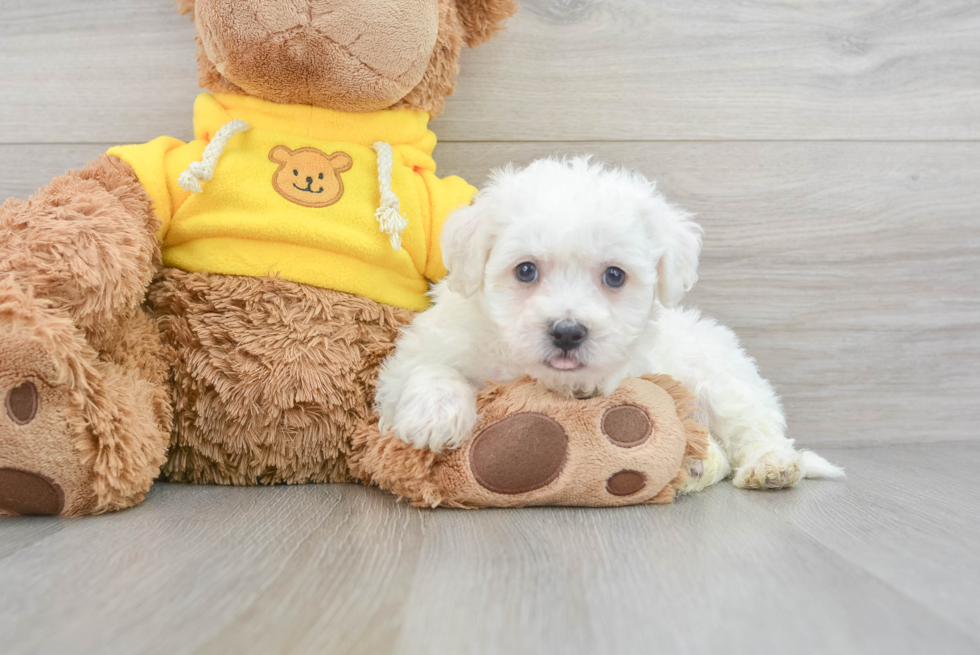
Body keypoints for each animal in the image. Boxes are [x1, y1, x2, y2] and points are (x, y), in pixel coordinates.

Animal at [376, 156, 844, 490]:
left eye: (614, 276)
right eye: (525, 270)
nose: (567, 332)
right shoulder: (423, 350)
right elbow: (430, 368)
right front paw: (435, 416)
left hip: (723, 379)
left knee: (752, 428)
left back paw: (769, 465)